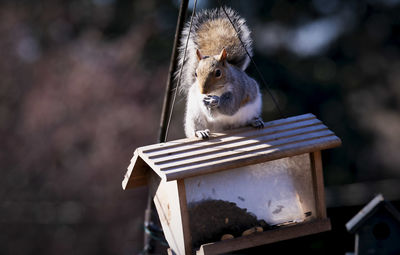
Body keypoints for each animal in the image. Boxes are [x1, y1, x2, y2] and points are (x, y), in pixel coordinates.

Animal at [177, 7, 264, 139]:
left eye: (218, 73)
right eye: (196, 74)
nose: (203, 91)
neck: (217, 90)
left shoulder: (239, 89)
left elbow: (231, 107)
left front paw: (215, 100)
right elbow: (210, 113)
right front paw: (207, 102)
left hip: (252, 109)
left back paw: (255, 121)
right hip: (194, 115)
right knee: (195, 127)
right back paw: (200, 132)